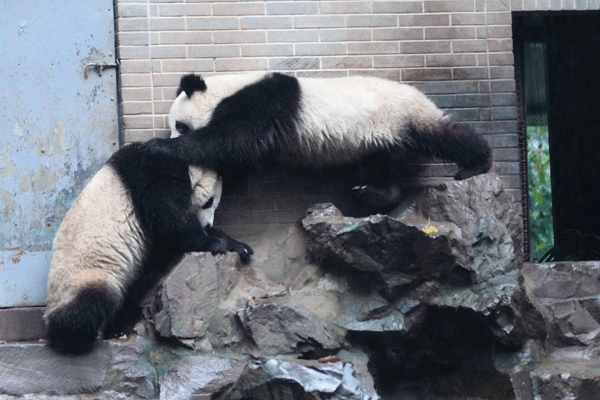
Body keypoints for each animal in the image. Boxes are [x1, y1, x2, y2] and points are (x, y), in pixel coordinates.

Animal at [45, 142, 252, 354]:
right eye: (209, 202)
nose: (208, 225)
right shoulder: (152, 173)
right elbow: (172, 222)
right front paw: (215, 243)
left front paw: (239, 246)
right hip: (85, 274)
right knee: (91, 303)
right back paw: (76, 340)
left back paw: (114, 329)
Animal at [144, 72, 492, 209]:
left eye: (181, 126)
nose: (172, 134)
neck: (226, 88)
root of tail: (418, 94)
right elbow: (235, 152)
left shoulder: (261, 104)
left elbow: (231, 141)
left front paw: (159, 147)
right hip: (381, 140)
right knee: (385, 168)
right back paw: (373, 193)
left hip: (400, 116)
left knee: (444, 135)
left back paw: (477, 164)